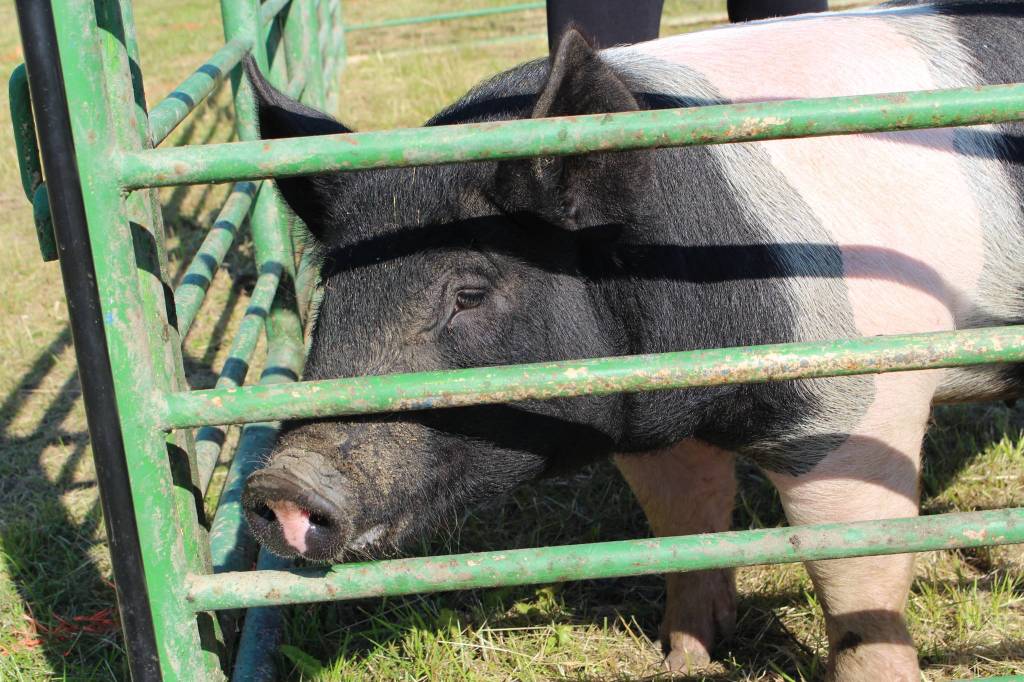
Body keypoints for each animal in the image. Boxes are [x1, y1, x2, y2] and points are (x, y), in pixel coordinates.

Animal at [239, 2, 1024, 679]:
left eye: (469, 292)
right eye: (331, 291)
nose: (281, 481)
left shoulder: (861, 401)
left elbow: (855, 570)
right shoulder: (646, 414)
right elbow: (685, 525)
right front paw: (683, 660)